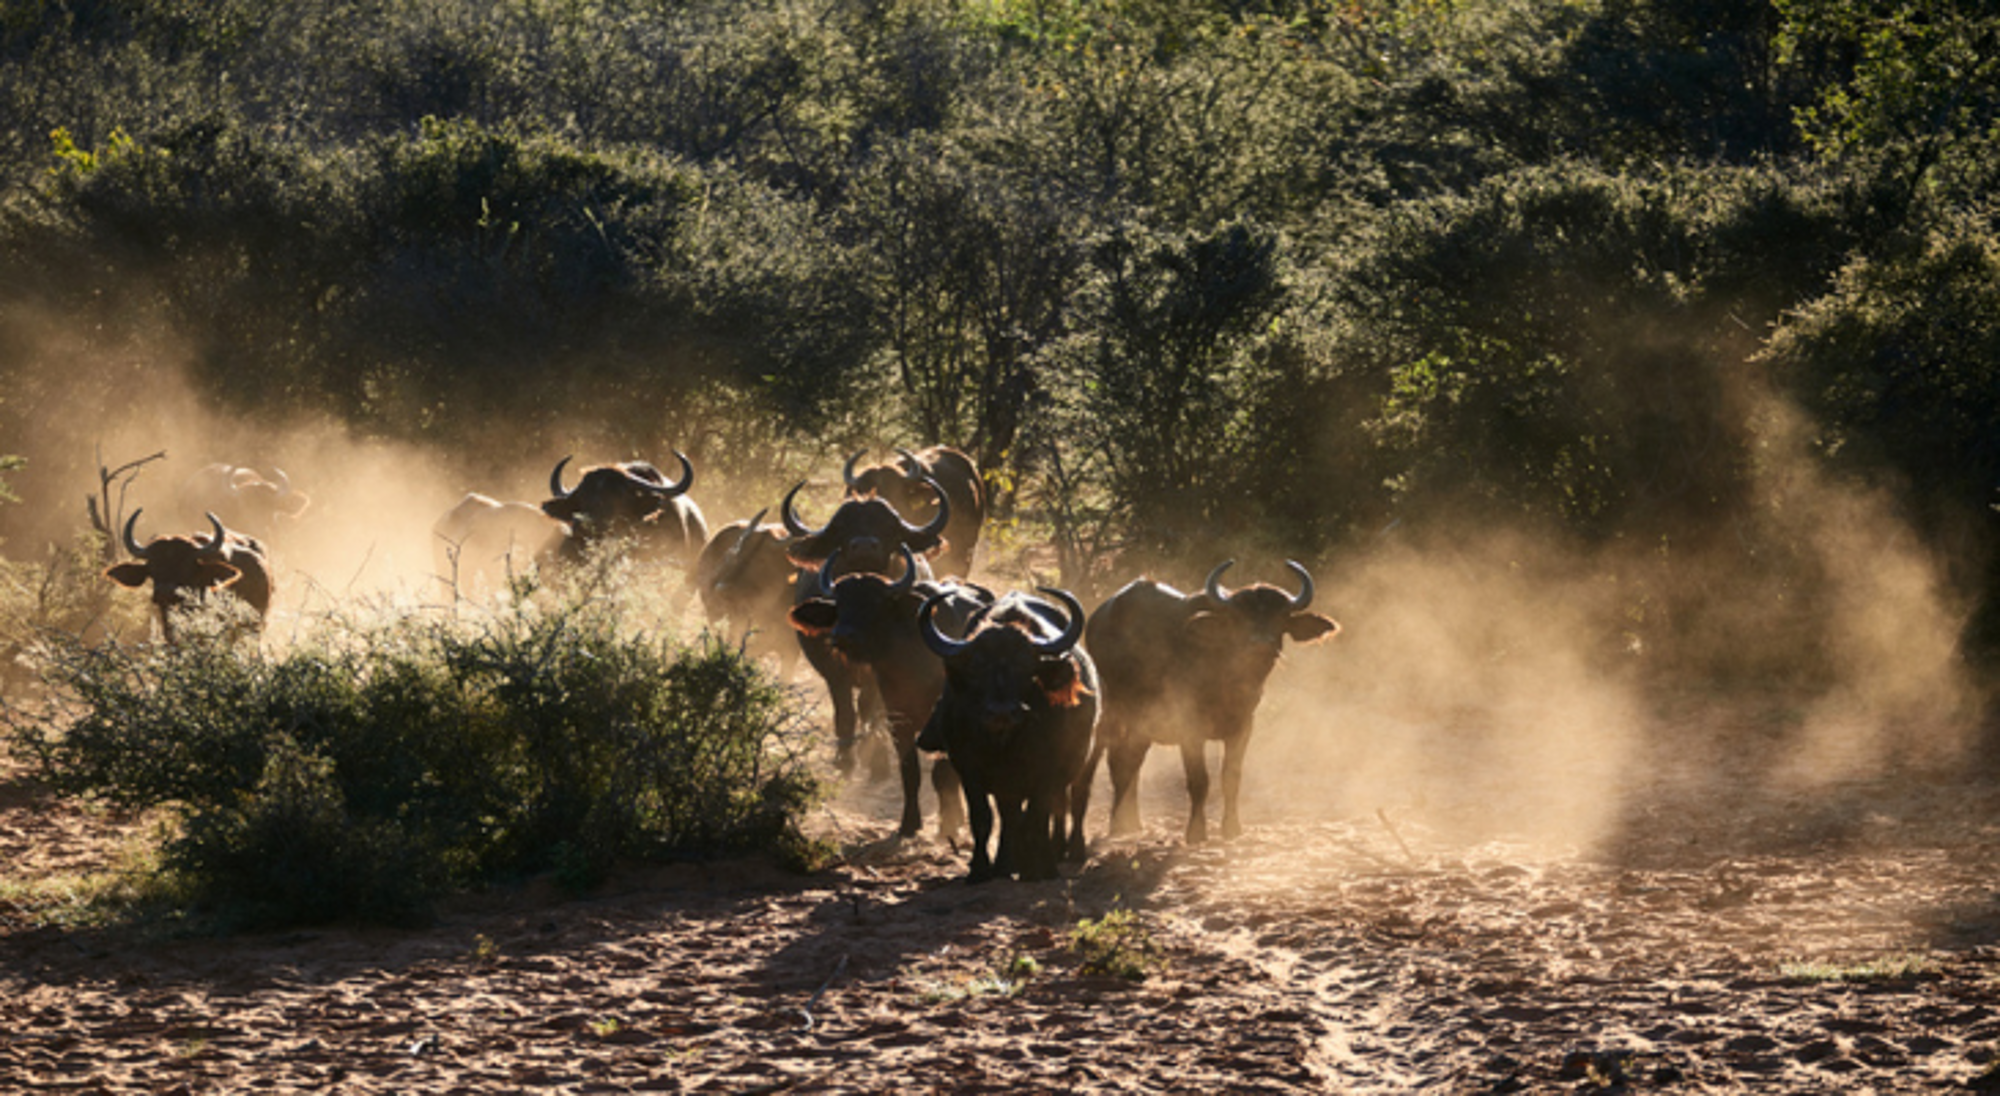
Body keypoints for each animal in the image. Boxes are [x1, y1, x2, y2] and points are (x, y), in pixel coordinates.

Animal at [919, 586, 1098, 882]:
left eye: (1026, 666)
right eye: (976, 666)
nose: (1001, 712)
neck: (1004, 742)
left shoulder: (1046, 770)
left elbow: (1038, 816)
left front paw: (1040, 870)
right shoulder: (968, 768)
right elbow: (983, 818)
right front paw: (980, 870)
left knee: (1058, 807)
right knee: (1010, 817)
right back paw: (1007, 864)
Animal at [1085, 560, 1339, 845]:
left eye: (1281, 618)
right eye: (1239, 618)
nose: (1261, 645)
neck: (1226, 676)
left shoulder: (1244, 726)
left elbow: (1231, 777)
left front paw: (1232, 828)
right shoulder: (1189, 727)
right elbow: (1199, 781)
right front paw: (1196, 832)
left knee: (1130, 760)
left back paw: (1132, 823)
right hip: (1114, 713)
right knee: (1117, 761)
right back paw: (1119, 825)